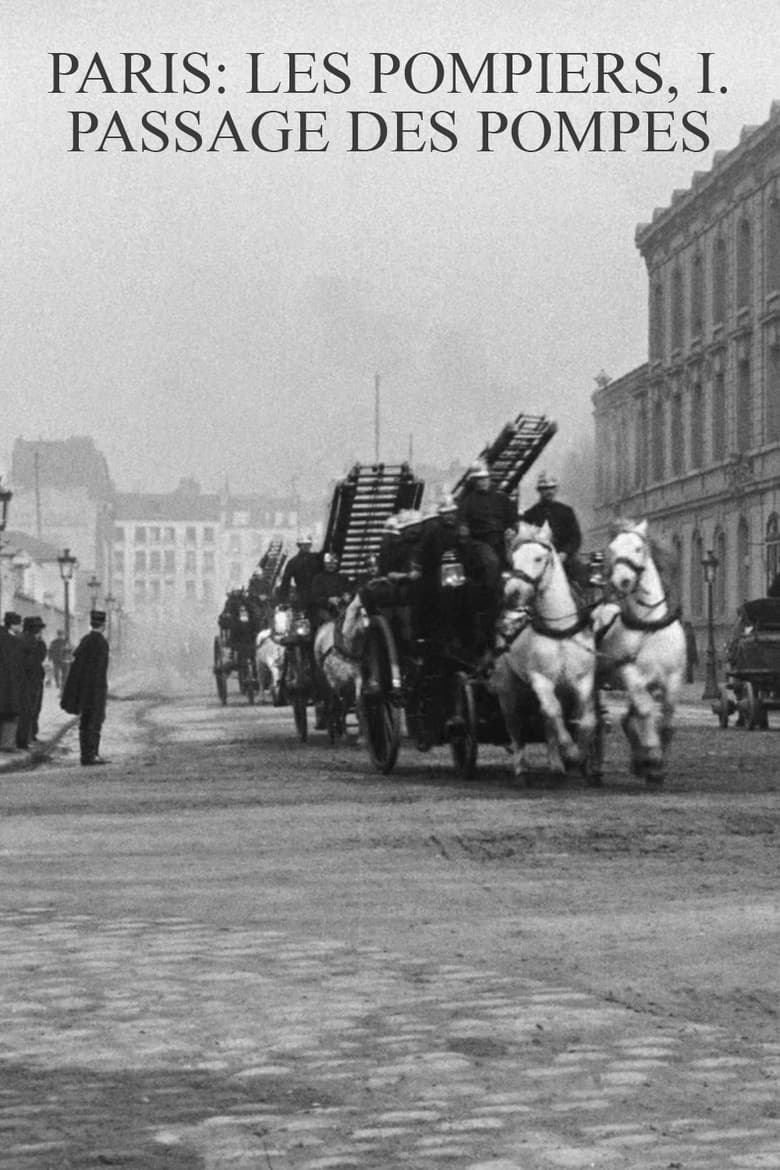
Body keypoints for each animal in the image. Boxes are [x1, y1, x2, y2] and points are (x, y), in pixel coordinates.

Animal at [311, 594, 369, 739]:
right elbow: (336, 704)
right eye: (363, 613)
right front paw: (338, 732)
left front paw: (361, 737)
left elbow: (358, 704)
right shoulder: (333, 681)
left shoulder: (357, 677)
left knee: (344, 704)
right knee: (333, 703)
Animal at [493, 524, 598, 781]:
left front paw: (581, 755)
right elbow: (553, 711)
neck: (559, 631)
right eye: (513, 559)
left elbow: (586, 719)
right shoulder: (540, 680)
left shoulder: (583, 679)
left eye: (539, 558)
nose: (512, 593)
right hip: (507, 686)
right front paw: (570, 750)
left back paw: (556, 763)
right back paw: (521, 765)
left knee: (547, 722)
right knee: (515, 724)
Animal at [594, 519, 687, 776]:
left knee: (629, 717)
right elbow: (645, 711)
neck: (649, 624)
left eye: (638, 548)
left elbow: (667, 716)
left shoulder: (674, 677)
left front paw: (654, 760)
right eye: (612, 549)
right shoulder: (629, 672)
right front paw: (652, 757)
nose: (622, 581)